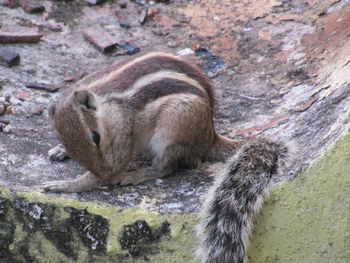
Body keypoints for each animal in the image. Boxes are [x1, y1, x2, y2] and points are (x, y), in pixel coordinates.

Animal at [42, 52, 292, 263]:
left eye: (95, 137)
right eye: (71, 146)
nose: (102, 172)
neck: (105, 100)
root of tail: (209, 136)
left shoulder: (124, 127)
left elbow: (117, 163)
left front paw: (67, 184)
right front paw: (60, 150)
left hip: (172, 128)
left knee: (166, 167)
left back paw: (138, 174)